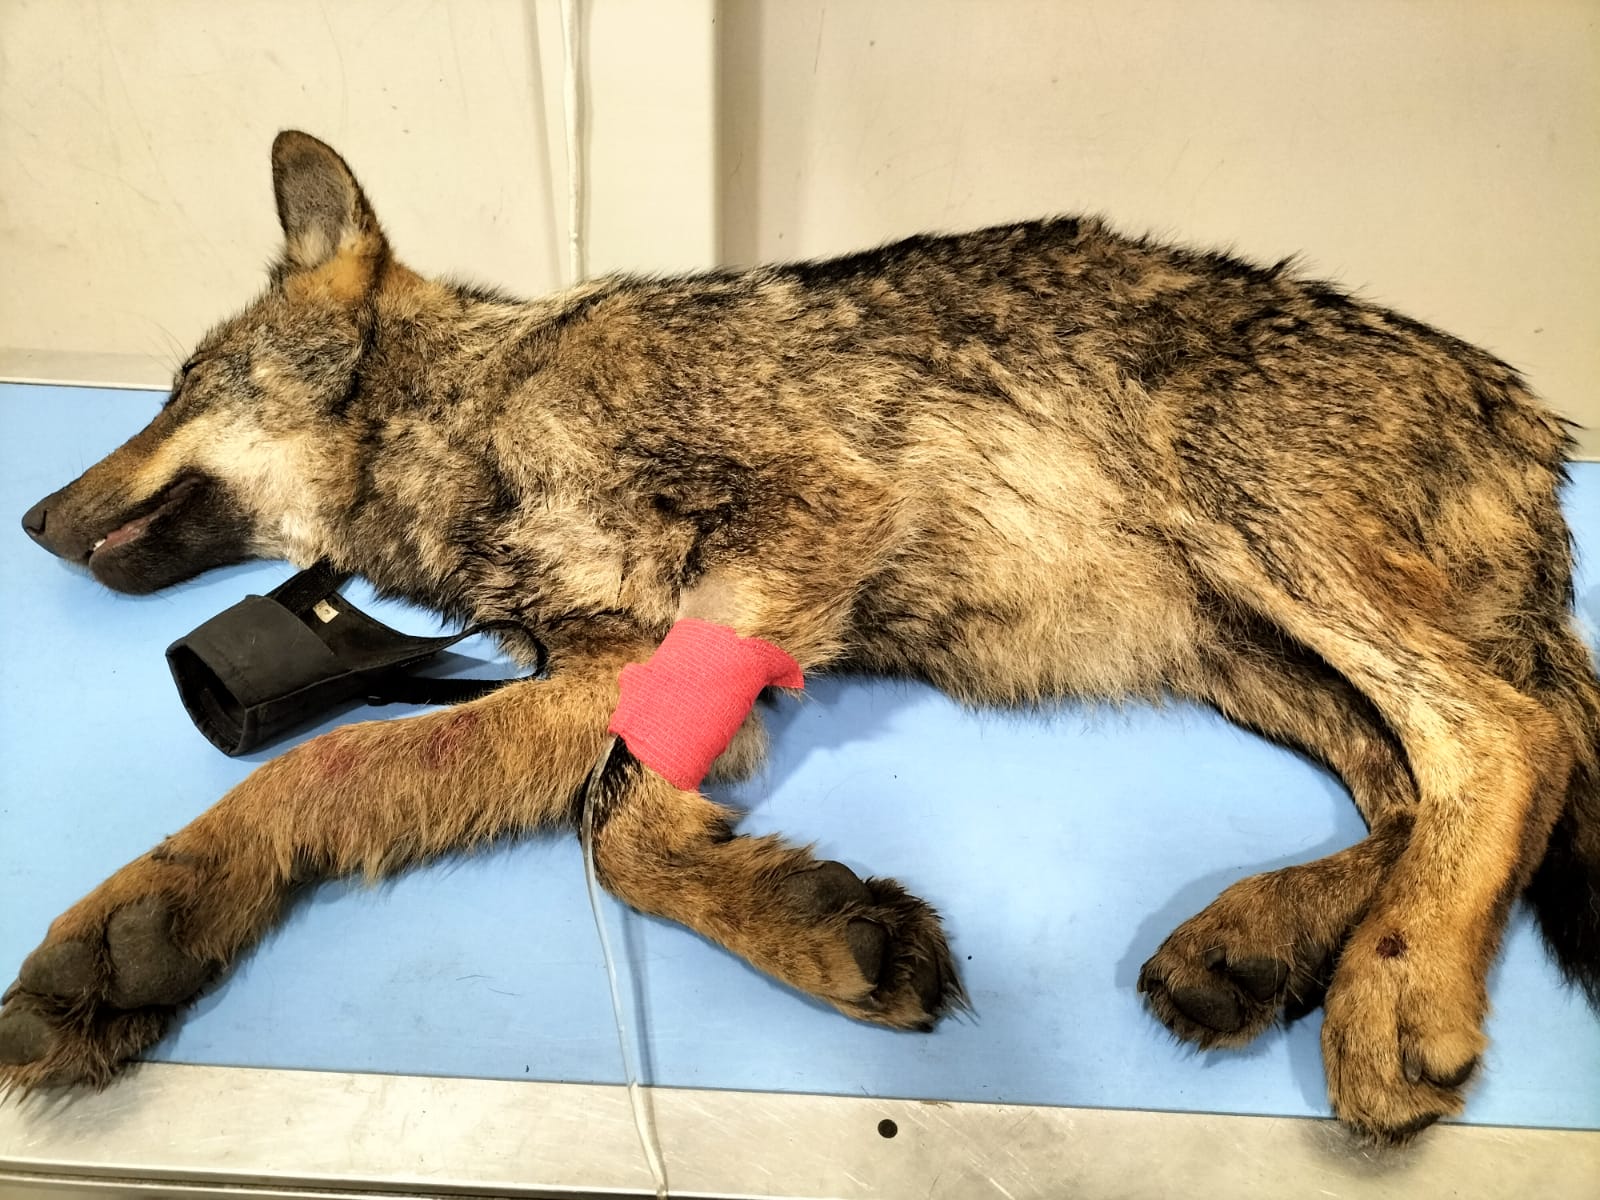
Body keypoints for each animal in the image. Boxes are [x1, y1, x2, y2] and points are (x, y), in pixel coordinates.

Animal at [3, 131, 1596, 1144]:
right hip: (1238, 648)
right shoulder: (612, 668)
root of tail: (1528, 413)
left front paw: (818, 927)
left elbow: (620, 834)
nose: (28, 516)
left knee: (1502, 735)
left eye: (180, 389)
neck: (477, 419)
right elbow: (329, 777)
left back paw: (1391, 993)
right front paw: (138, 930)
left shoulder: (806, 518)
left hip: (1255, 538)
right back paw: (1263, 942)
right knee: (1420, 789)